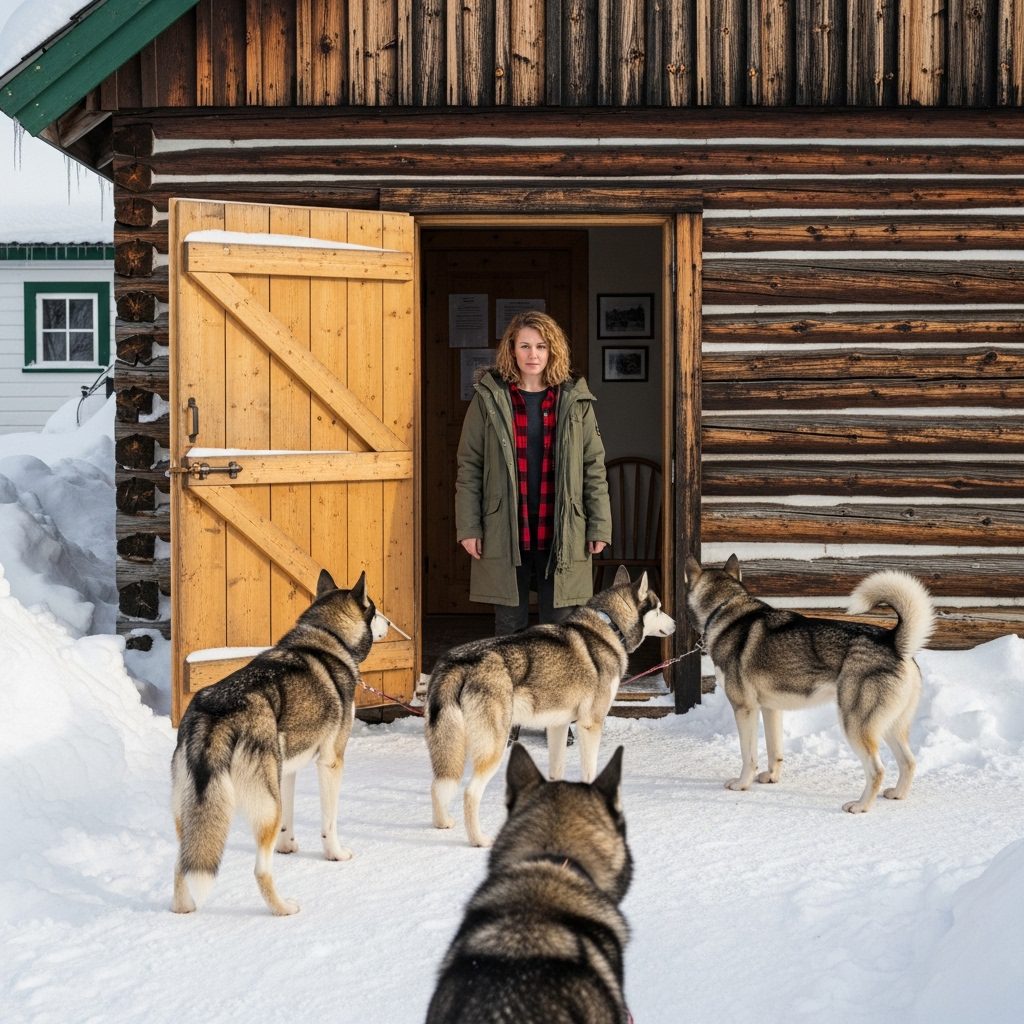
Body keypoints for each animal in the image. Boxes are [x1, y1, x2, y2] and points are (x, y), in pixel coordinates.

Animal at [170, 569, 389, 915]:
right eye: (375, 608)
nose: (390, 622)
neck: (328, 637)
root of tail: (216, 715)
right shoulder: (331, 762)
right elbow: (330, 823)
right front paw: (335, 854)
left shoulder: (286, 770)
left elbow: (289, 821)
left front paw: (288, 846)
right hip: (266, 807)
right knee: (261, 870)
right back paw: (283, 908)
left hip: (192, 813)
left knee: (183, 865)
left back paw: (185, 909)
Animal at [427, 565, 675, 847]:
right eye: (659, 608)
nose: (676, 623)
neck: (610, 626)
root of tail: (459, 662)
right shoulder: (591, 725)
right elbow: (590, 773)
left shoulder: (558, 726)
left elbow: (556, 772)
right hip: (494, 747)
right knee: (470, 792)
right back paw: (479, 839)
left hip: (450, 748)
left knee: (437, 785)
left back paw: (442, 823)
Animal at [685, 555, 934, 813]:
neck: (724, 607)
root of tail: (894, 642)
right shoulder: (770, 709)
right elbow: (775, 750)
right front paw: (771, 778)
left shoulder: (744, 709)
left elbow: (749, 756)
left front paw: (742, 784)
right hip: (891, 726)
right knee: (909, 762)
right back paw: (897, 794)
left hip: (854, 725)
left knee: (877, 770)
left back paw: (860, 806)